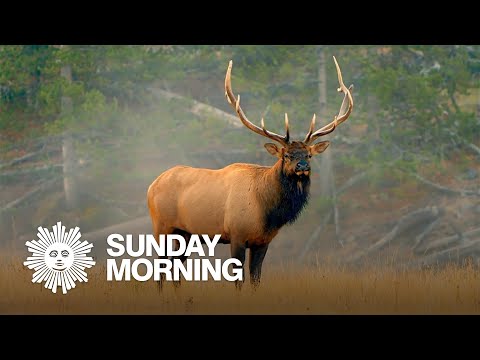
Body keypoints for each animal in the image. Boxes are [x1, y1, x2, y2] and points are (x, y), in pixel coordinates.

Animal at [146, 55, 352, 286]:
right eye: (286, 155)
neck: (266, 210)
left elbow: (255, 278)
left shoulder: (263, 241)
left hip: (185, 234)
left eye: (308, 155)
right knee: (160, 266)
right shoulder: (236, 234)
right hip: (162, 226)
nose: (303, 166)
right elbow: (238, 278)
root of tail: (151, 185)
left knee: (175, 266)